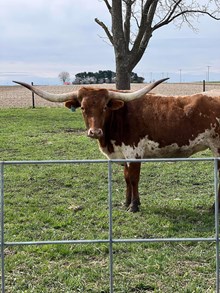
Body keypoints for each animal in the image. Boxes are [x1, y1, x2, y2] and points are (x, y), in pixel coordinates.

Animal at [12, 79, 220, 212]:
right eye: (83, 108)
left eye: (105, 107)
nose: (95, 132)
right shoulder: (122, 154)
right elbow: (126, 178)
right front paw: (126, 203)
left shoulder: (134, 152)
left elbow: (134, 178)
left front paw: (134, 206)